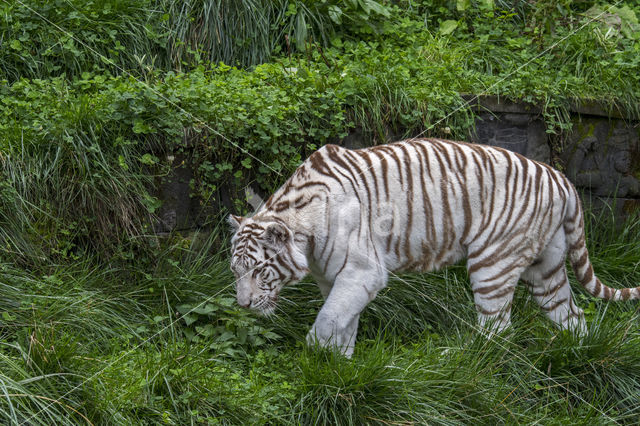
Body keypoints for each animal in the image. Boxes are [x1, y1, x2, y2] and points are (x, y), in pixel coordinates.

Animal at [228, 139, 636, 356]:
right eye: (235, 272)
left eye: (260, 271)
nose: (243, 305)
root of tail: (562, 179)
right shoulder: (336, 279)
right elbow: (342, 321)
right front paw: (338, 364)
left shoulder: (362, 272)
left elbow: (328, 319)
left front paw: (314, 356)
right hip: (545, 268)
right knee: (572, 316)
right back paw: (580, 355)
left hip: (492, 264)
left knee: (497, 330)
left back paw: (460, 362)